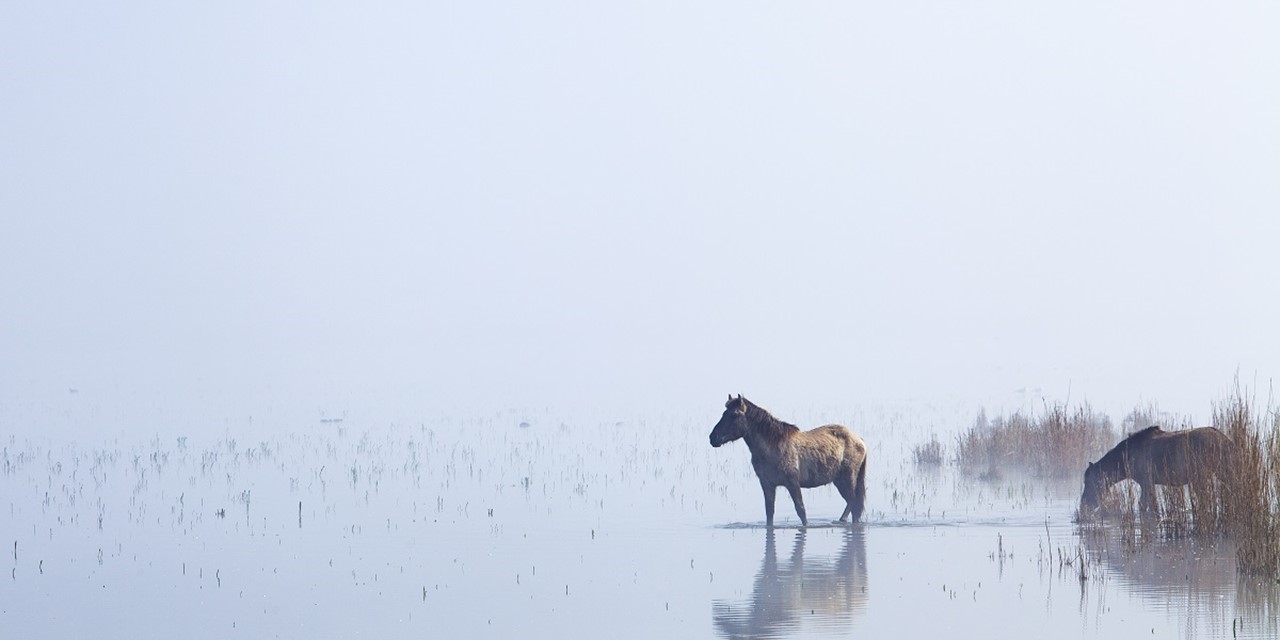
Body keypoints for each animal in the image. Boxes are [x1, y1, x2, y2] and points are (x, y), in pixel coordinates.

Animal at [711, 394, 870, 524]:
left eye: (734, 415)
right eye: (724, 413)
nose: (713, 438)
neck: (770, 448)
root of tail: (861, 441)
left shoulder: (792, 482)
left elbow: (801, 511)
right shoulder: (767, 484)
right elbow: (770, 513)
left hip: (847, 477)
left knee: (854, 504)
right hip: (838, 480)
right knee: (851, 504)